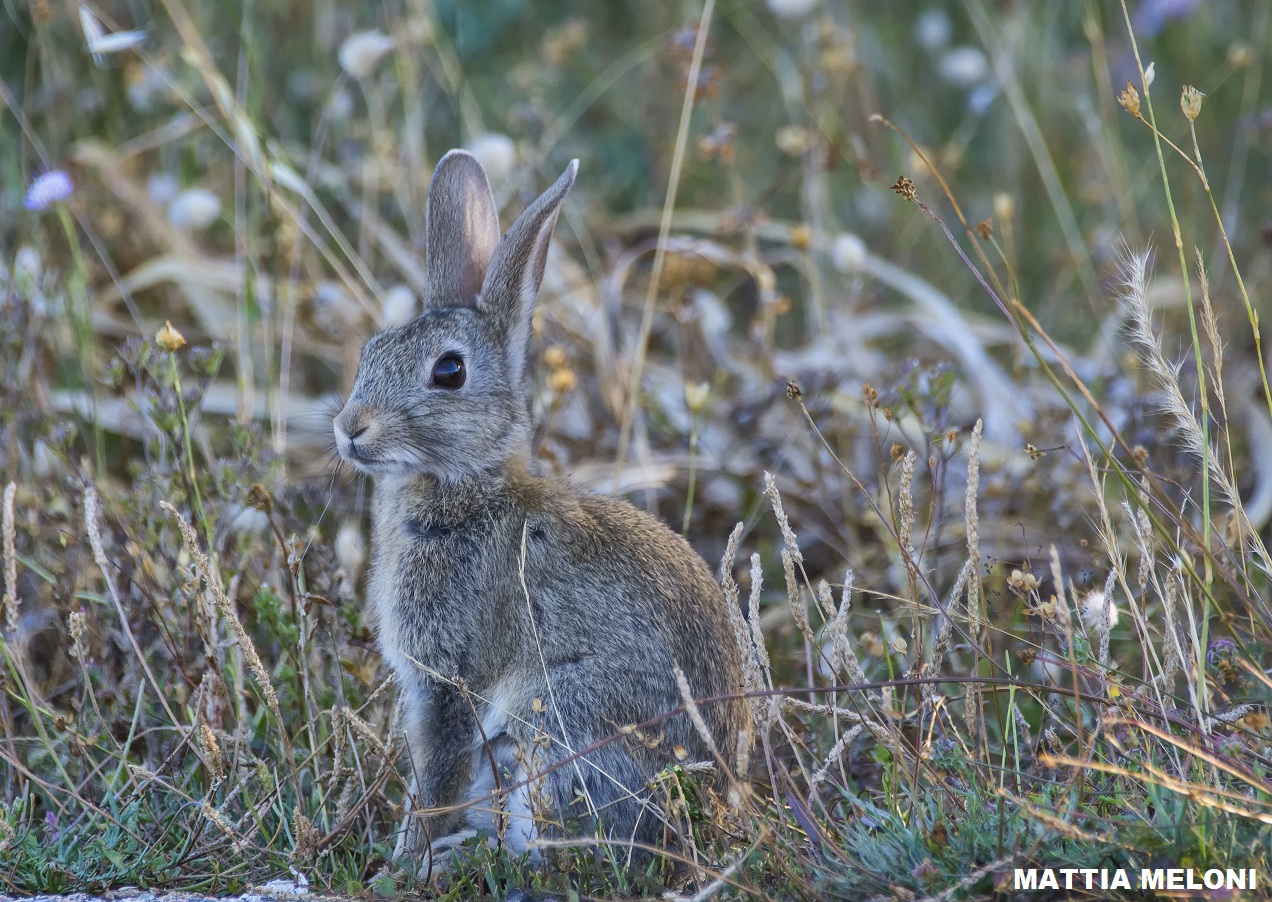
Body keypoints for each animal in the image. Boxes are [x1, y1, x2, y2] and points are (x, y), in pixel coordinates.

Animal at [333, 149, 749, 873]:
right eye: (371, 351)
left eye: (449, 372)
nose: (350, 427)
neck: (465, 489)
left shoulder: (451, 679)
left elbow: (436, 774)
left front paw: (405, 862)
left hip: (558, 723)